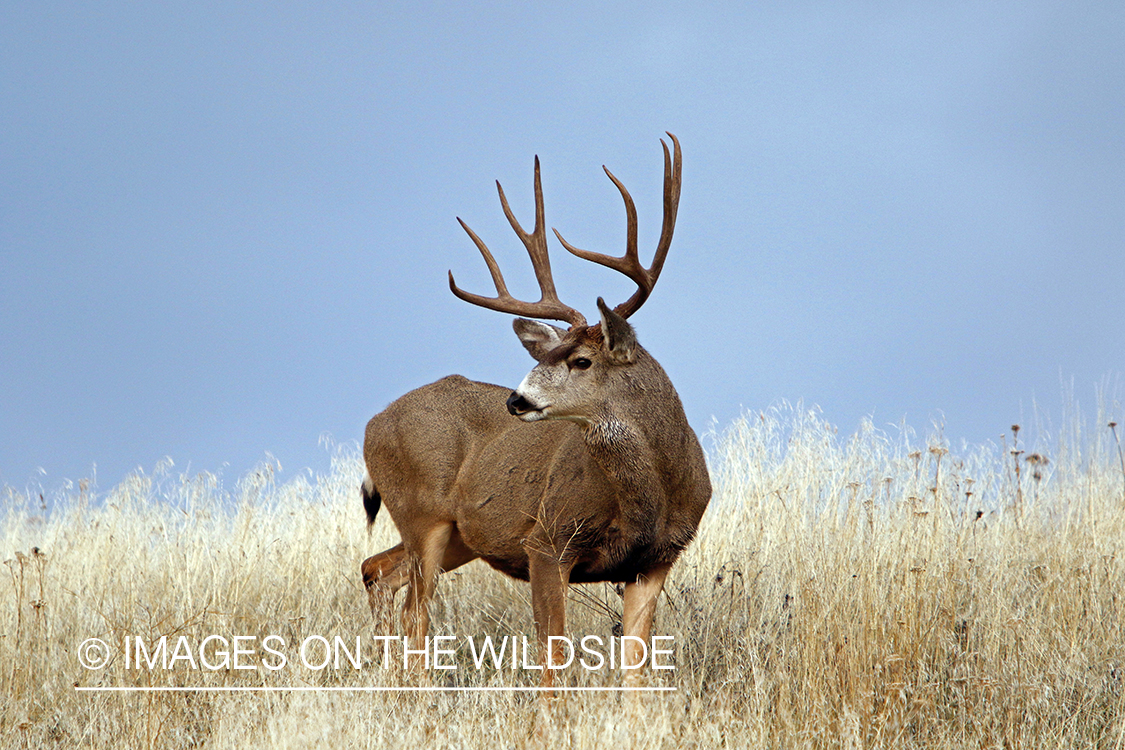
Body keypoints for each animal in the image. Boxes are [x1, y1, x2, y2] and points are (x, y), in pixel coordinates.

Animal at [360, 133, 710, 686]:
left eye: (581, 360)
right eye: (543, 356)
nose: (516, 399)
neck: (650, 494)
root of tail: (373, 423)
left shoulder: (654, 561)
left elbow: (636, 671)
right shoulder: (547, 541)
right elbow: (553, 662)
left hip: (459, 533)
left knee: (375, 571)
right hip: (422, 516)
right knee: (415, 616)